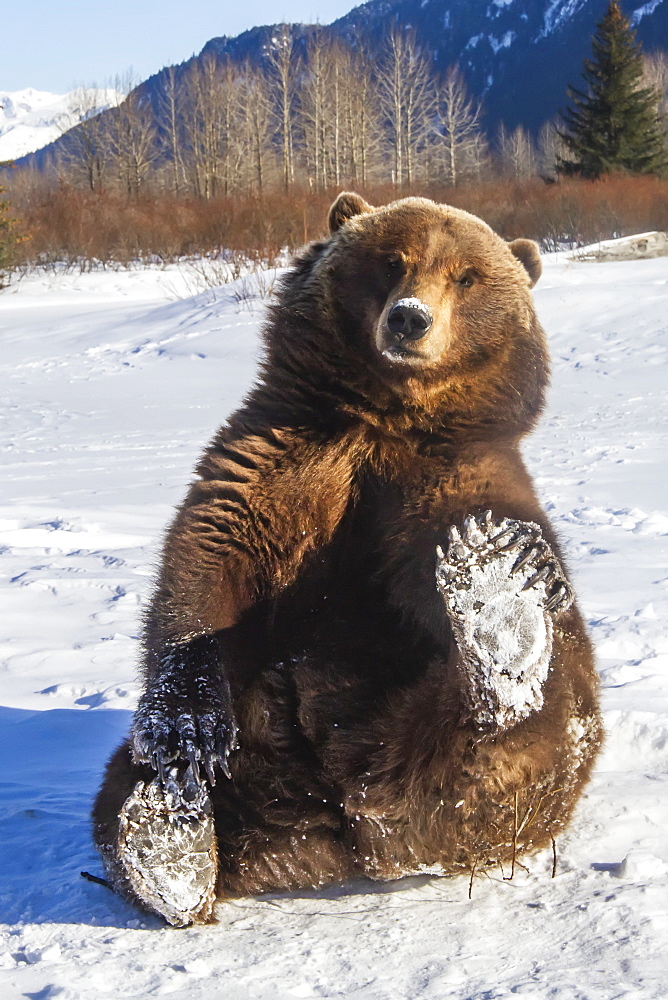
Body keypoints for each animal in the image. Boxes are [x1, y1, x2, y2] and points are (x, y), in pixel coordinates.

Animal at [92, 191, 600, 924]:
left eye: (467, 276)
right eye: (392, 260)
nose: (410, 318)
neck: (382, 417)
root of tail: (346, 827)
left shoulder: (446, 477)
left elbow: (452, 560)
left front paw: (502, 568)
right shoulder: (278, 460)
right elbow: (205, 571)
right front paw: (187, 731)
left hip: (492, 759)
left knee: (529, 729)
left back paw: (499, 622)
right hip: (258, 748)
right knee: (124, 787)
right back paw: (170, 837)